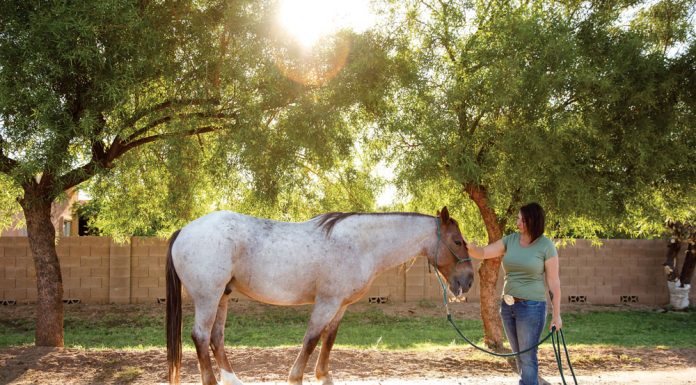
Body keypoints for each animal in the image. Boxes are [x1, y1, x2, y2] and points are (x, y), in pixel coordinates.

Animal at [166, 207, 476, 384]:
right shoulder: (327, 302)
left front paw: (322, 375)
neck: (359, 245)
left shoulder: (340, 305)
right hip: (208, 297)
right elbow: (312, 338)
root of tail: (184, 230)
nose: (469, 280)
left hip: (222, 297)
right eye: (458, 241)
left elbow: (329, 338)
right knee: (201, 336)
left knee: (216, 338)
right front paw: (296, 377)